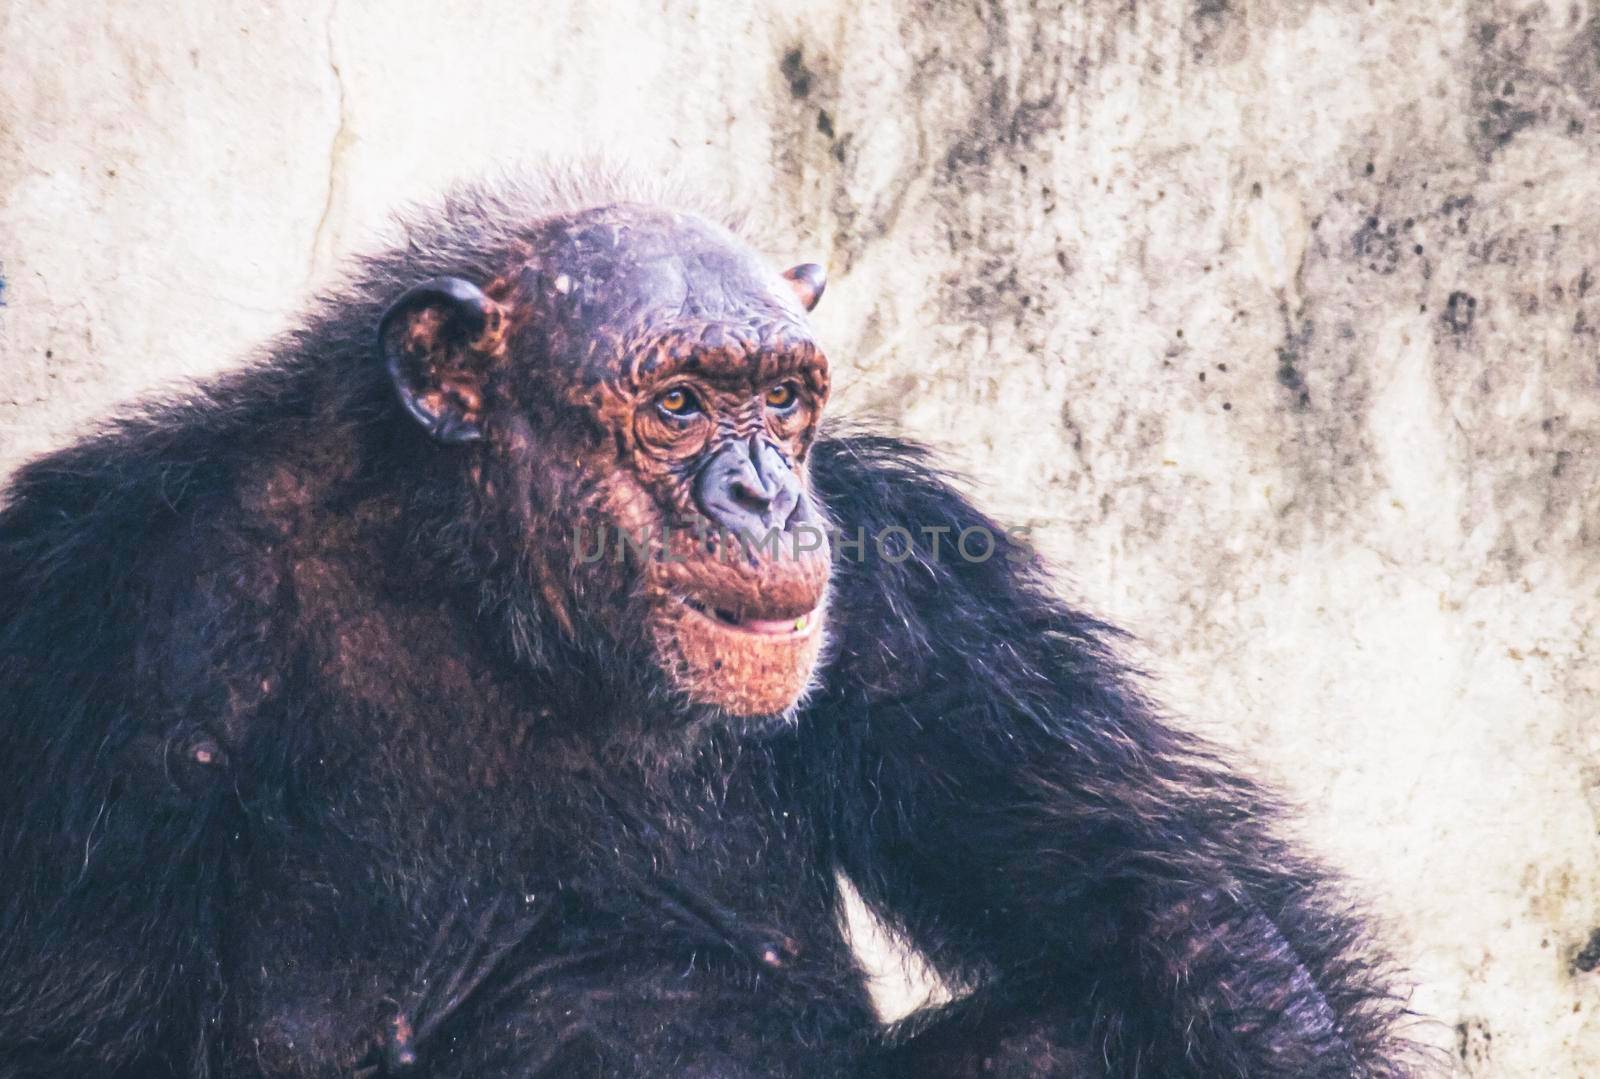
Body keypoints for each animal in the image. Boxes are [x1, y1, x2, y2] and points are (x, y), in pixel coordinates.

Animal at [0, 164, 1420, 1069]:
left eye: (782, 398)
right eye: (678, 402)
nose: (763, 493)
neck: (491, 580)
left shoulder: (907, 582)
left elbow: (1163, 896)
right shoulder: (113, 633)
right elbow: (76, 1024)